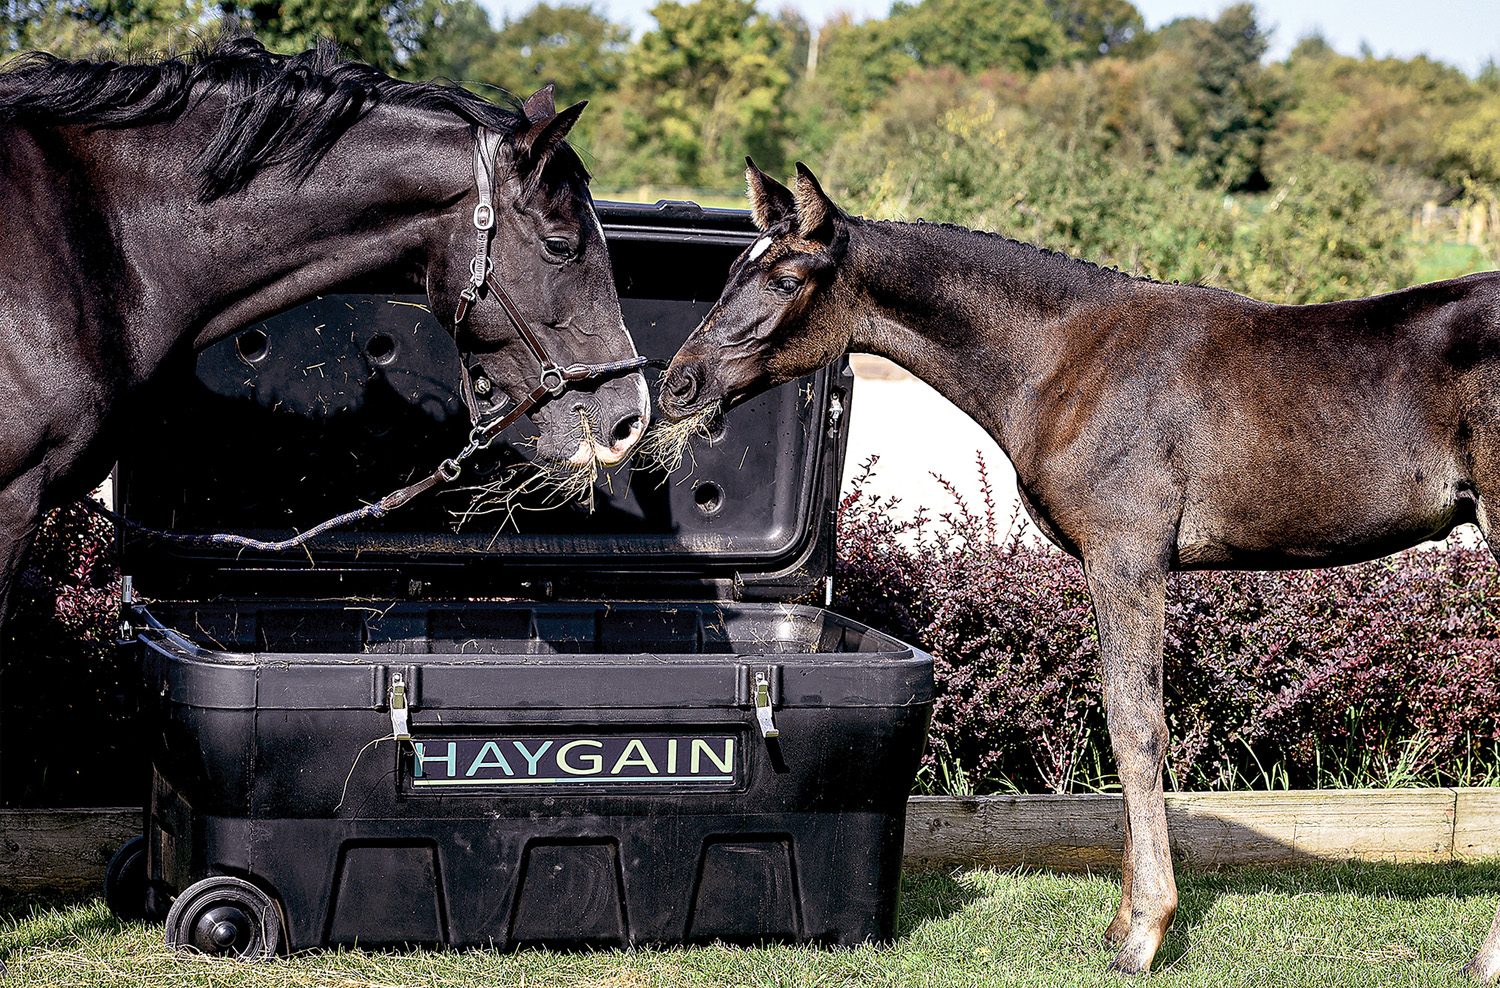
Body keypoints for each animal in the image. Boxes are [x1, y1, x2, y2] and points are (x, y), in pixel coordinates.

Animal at [660, 159, 1500, 977]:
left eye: (787, 278)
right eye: (734, 268)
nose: (678, 384)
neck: (1065, 358)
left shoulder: (1128, 556)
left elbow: (1137, 725)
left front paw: (1145, 934)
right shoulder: (1109, 563)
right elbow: (1121, 714)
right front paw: (1121, 921)